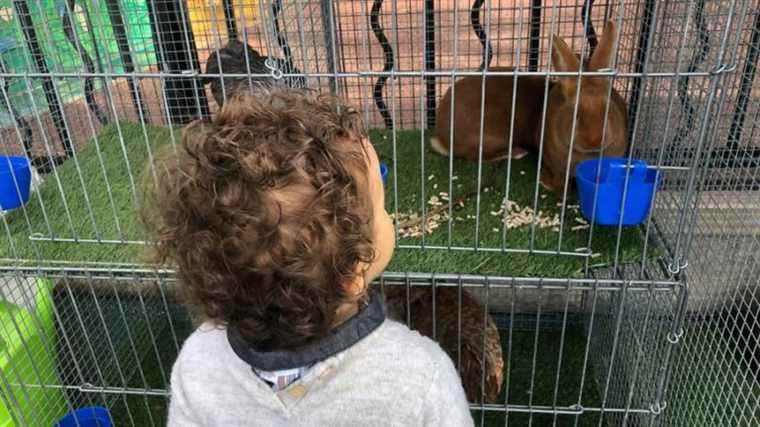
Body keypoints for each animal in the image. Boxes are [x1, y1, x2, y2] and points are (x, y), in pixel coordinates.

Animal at [540, 20, 628, 191]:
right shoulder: (558, 166)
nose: (594, 141)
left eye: (608, 109)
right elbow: (560, 181)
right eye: (576, 114)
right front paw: (547, 182)